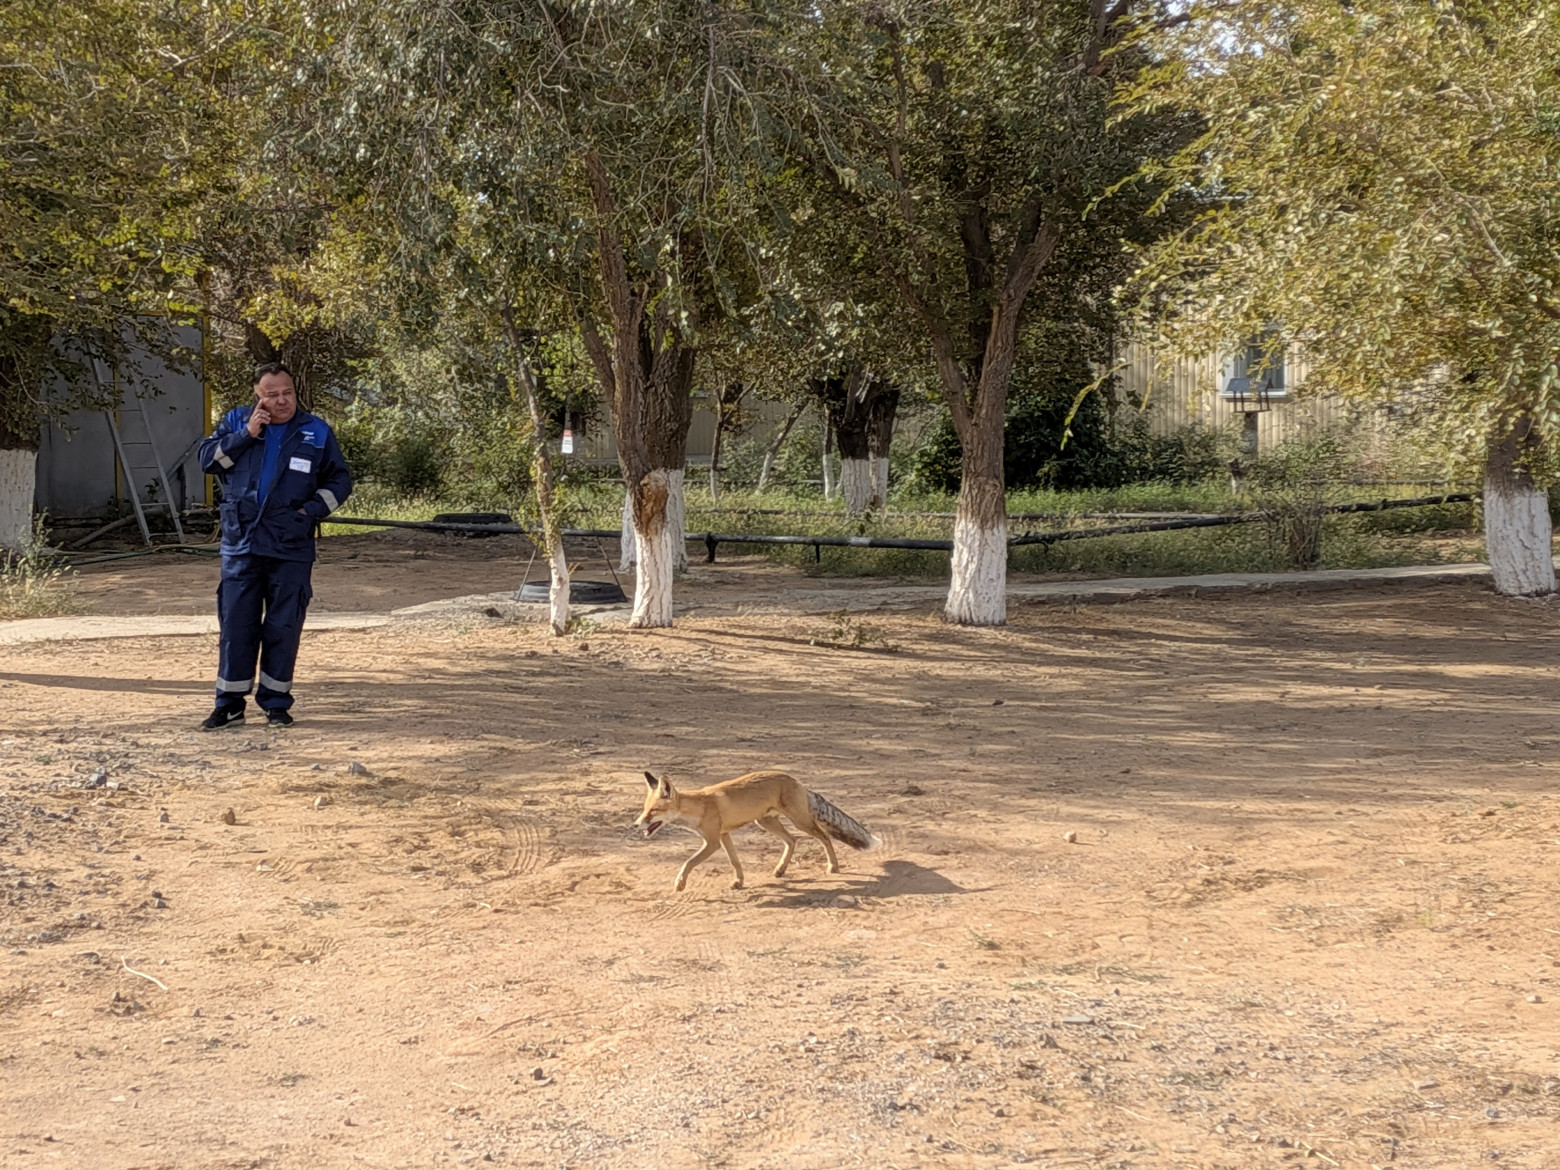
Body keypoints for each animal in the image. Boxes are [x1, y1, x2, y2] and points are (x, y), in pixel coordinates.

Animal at [634, 770, 879, 892]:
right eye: (644, 809)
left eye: (653, 811)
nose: (636, 824)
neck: (700, 807)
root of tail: (797, 781)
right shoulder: (724, 835)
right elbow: (735, 861)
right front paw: (739, 882)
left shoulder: (712, 841)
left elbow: (688, 862)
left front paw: (680, 884)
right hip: (766, 822)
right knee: (793, 840)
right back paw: (780, 870)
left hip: (799, 821)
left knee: (824, 837)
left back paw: (833, 866)